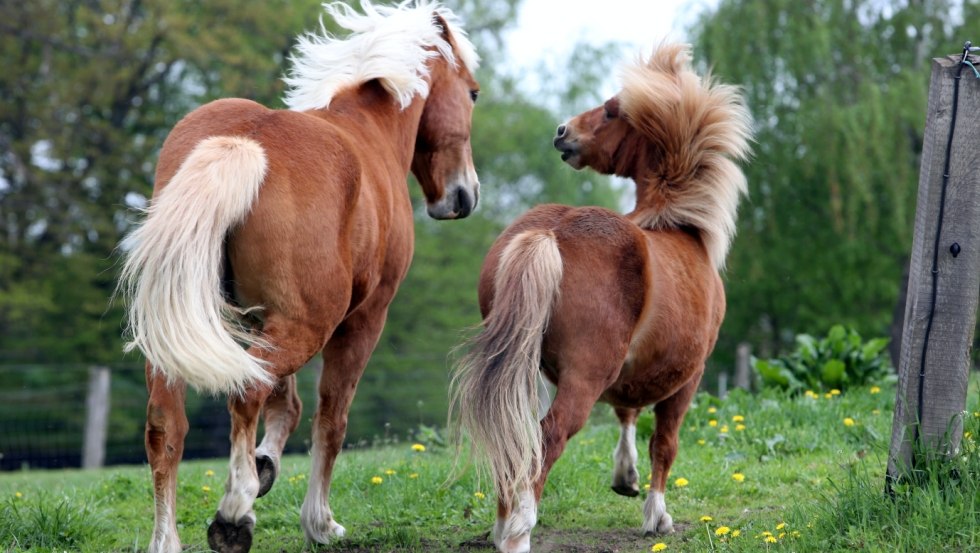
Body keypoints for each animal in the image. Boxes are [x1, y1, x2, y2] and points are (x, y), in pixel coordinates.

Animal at [118, 2, 482, 548]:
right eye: (473, 92)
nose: (464, 196)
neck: (367, 132)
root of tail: (244, 143)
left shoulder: (256, 318)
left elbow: (284, 404)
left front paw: (266, 464)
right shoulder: (364, 319)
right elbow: (330, 416)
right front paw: (319, 521)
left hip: (184, 331)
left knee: (167, 424)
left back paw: (170, 538)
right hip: (309, 325)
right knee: (246, 394)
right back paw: (234, 513)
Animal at [450, 44, 752, 552]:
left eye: (611, 112)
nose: (561, 132)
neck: (677, 225)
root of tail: (549, 232)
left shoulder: (632, 370)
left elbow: (627, 412)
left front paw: (625, 477)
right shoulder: (689, 378)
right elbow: (664, 444)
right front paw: (657, 516)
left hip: (522, 367)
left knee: (515, 439)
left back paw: (502, 521)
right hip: (584, 377)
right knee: (547, 437)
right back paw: (518, 529)